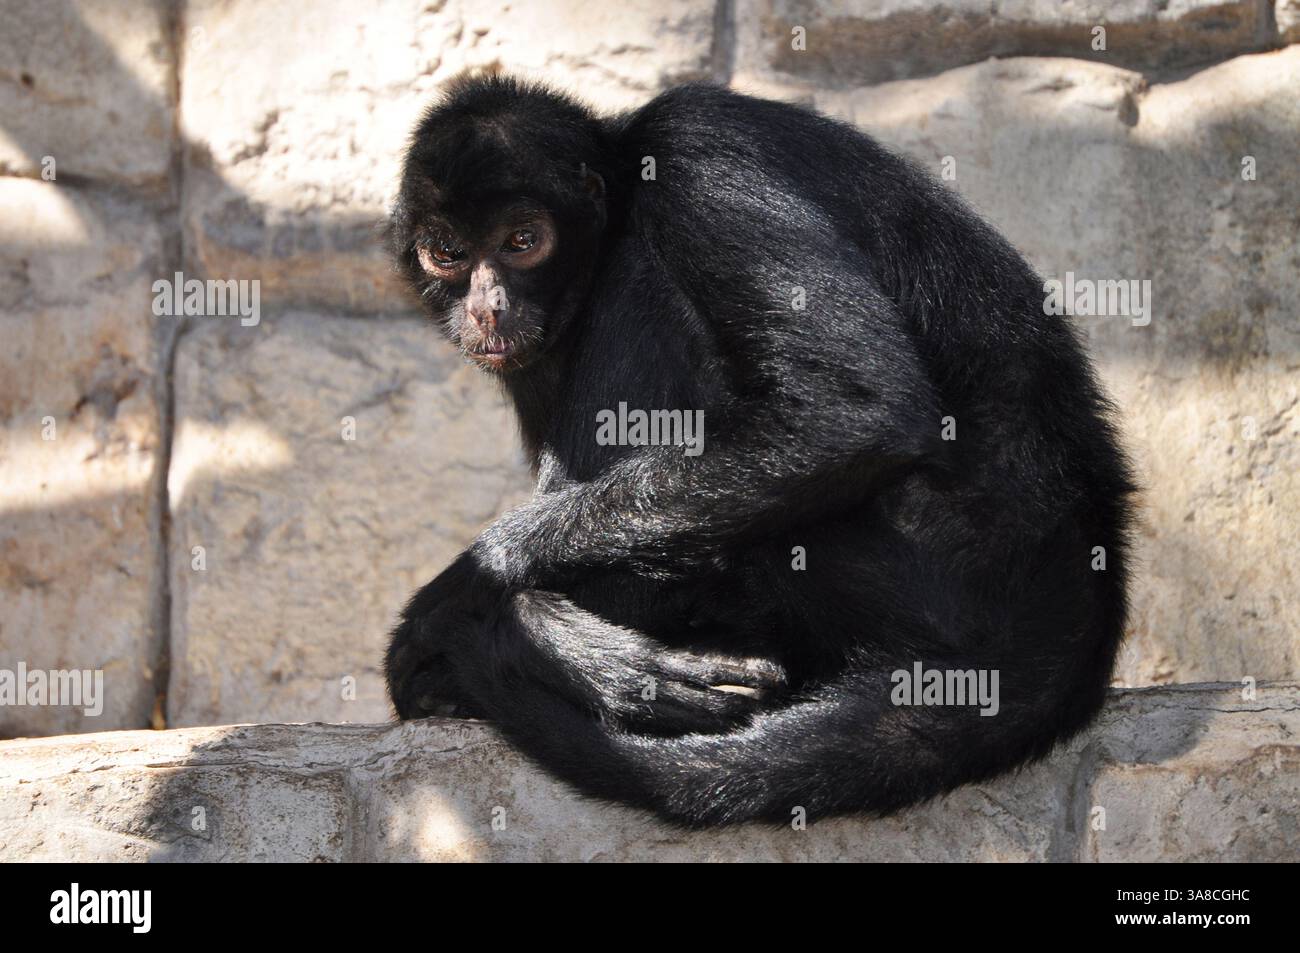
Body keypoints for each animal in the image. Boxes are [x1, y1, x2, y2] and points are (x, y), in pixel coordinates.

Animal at [384, 74, 1136, 827]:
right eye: (447, 253)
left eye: (522, 241)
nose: (488, 306)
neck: (627, 172)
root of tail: (1082, 586)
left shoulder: (696, 155)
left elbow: (854, 412)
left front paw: (471, 588)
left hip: (925, 554)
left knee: (639, 279)